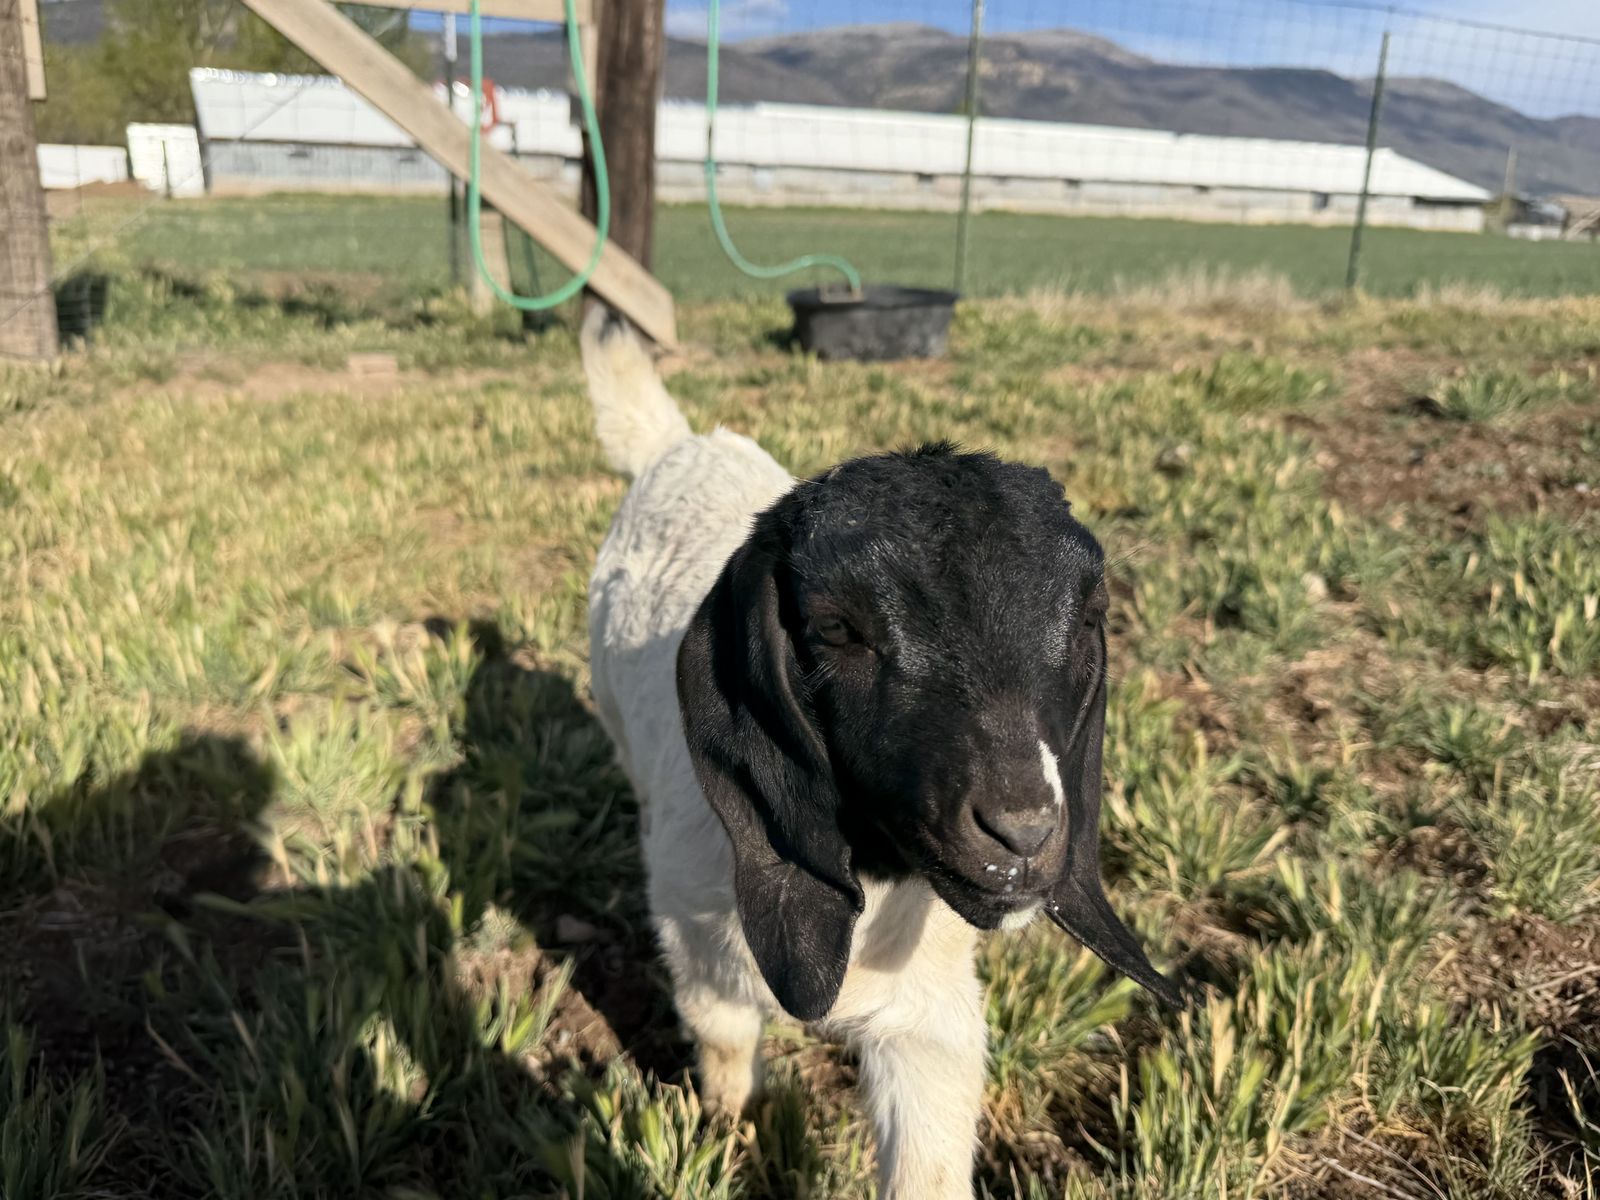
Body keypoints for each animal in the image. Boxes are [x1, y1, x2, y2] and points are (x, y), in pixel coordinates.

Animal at [580, 308, 1179, 1199]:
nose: (1023, 834)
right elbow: (724, 1044)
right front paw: (731, 1131)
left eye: (1086, 616)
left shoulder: (931, 1012)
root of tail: (684, 443)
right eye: (835, 627)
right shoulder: (695, 944)